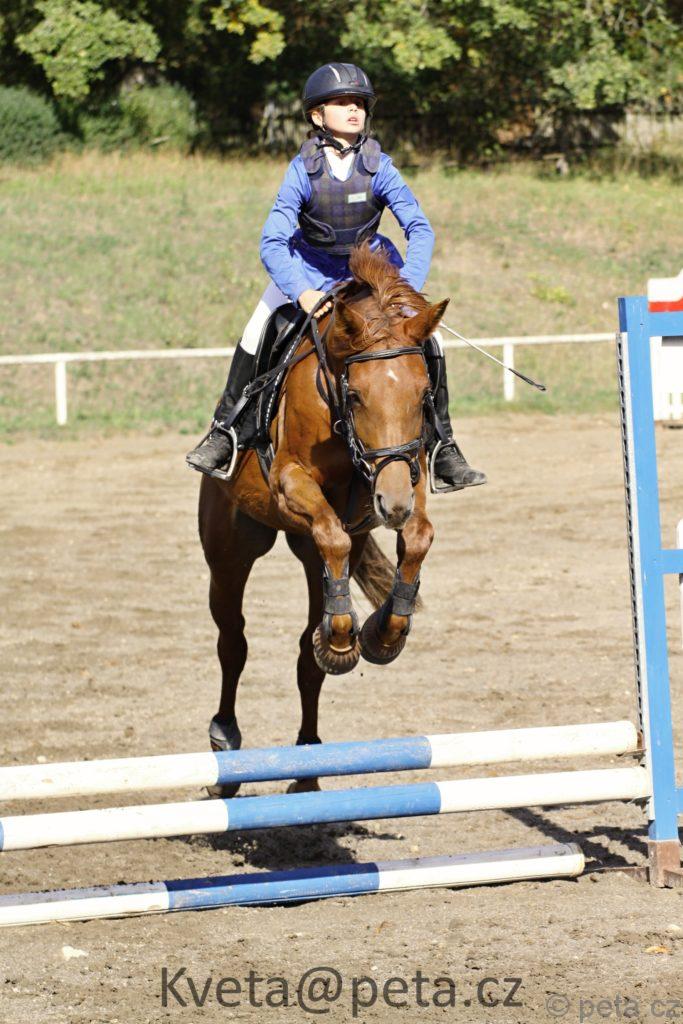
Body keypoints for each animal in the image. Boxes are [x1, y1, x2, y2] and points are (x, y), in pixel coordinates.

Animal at [197, 242, 448, 793]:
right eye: (356, 395)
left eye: (425, 394)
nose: (391, 505)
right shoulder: (292, 481)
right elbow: (334, 533)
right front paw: (352, 638)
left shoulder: (405, 474)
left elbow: (418, 539)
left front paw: (381, 633)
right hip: (230, 551)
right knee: (233, 641)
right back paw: (225, 749)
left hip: (311, 554)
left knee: (305, 654)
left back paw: (309, 763)